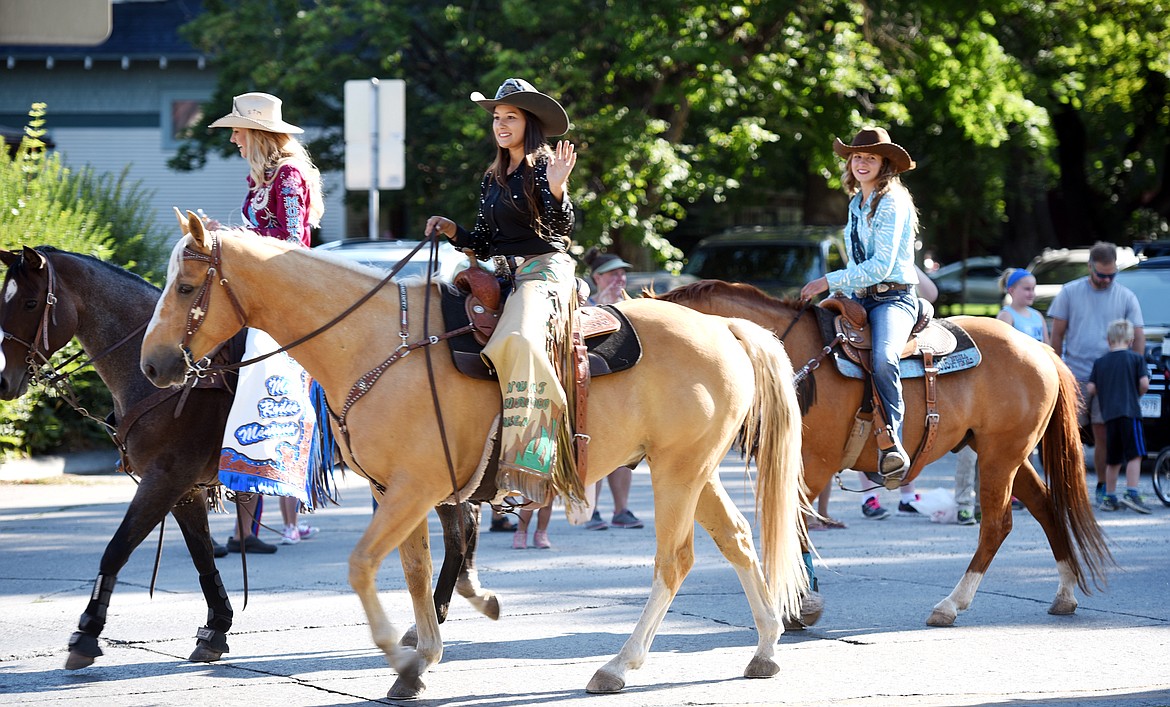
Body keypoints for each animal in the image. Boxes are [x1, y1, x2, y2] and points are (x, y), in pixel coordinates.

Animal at [136, 217, 809, 697]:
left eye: (188, 287)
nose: (153, 365)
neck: (376, 342)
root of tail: (724, 328)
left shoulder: (415, 488)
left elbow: (363, 565)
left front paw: (403, 657)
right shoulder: (395, 491)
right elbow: (415, 570)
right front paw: (423, 657)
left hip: (678, 472)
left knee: (675, 561)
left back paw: (618, 666)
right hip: (696, 471)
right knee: (739, 540)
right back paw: (766, 651)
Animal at [655, 278, 1109, 627]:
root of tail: (1038, 348)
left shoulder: (813, 464)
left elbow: (797, 525)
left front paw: (803, 604)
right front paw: (800, 603)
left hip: (1000, 456)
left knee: (997, 524)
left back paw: (950, 605)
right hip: (1006, 453)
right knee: (1046, 507)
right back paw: (1064, 595)